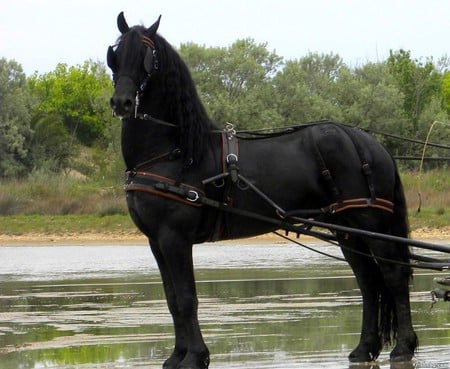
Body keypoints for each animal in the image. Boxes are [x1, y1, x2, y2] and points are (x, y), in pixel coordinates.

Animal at [108, 12, 418, 366]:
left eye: (146, 57)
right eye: (116, 54)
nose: (121, 102)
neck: (175, 151)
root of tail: (368, 141)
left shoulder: (175, 237)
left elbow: (187, 299)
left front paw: (195, 356)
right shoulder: (156, 240)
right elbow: (172, 300)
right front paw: (177, 355)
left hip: (371, 222)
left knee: (393, 276)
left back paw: (403, 347)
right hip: (346, 228)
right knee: (368, 282)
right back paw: (365, 347)